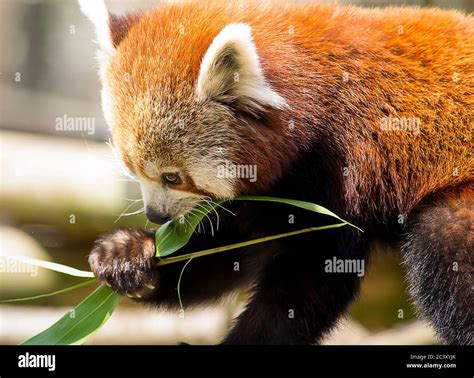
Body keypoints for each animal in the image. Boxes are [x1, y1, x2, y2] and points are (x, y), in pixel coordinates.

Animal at [79, 0, 472, 342]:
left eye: (171, 176)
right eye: (132, 171)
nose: (155, 215)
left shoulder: (334, 173)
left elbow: (307, 281)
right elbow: (231, 252)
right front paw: (131, 257)